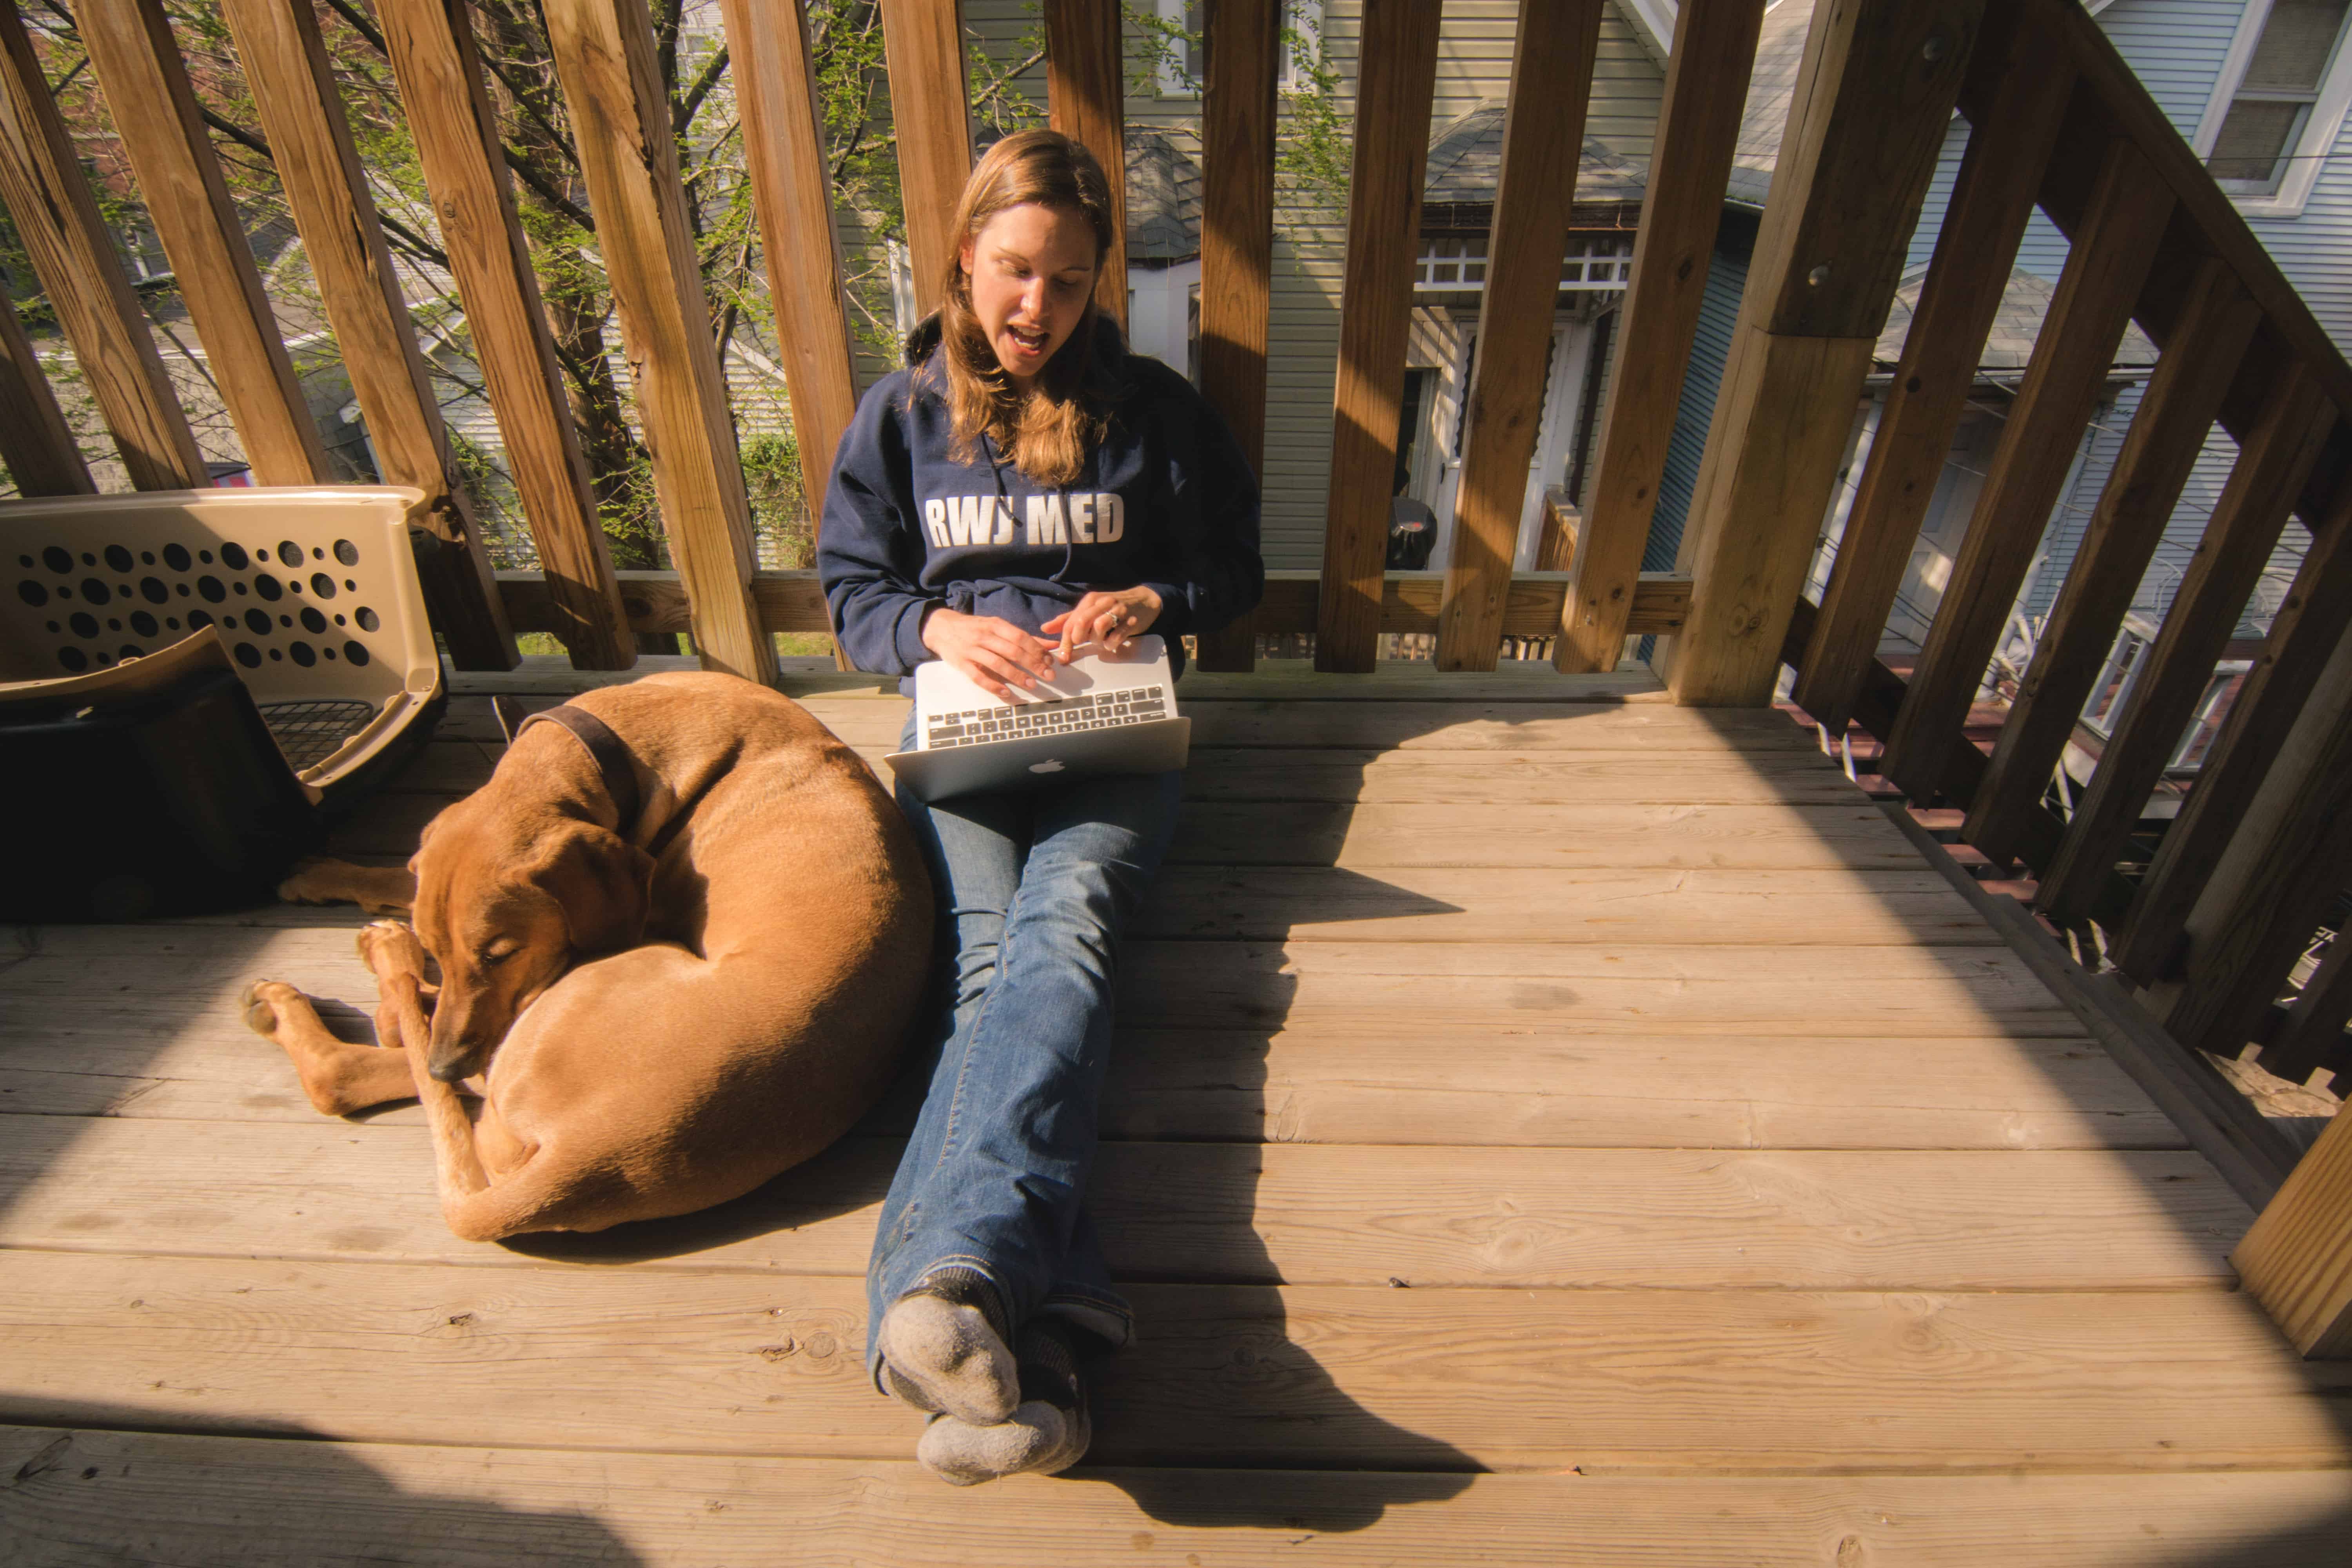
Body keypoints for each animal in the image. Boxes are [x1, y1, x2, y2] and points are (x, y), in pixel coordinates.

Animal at [239, 672, 931, 1241]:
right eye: (446, 947)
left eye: (502, 953)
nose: (444, 1063)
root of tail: (582, 1163)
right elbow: (399, 879)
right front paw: (319, 874)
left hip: (588, 985)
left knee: (360, 1066)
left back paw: (350, 977)